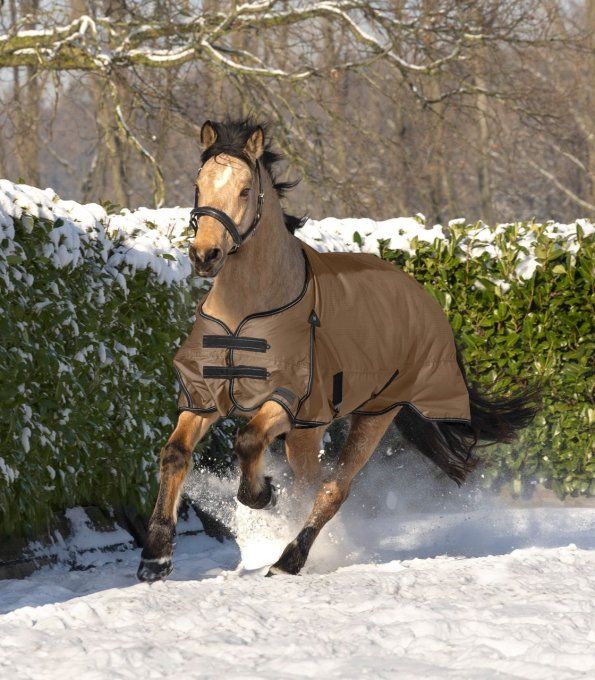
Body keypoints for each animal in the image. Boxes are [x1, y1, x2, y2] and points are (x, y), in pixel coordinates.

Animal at [136, 115, 540, 580]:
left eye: (244, 189)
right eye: (199, 184)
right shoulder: (204, 396)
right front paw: (155, 557)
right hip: (308, 432)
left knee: (332, 488)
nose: (205, 254)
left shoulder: (289, 398)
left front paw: (263, 495)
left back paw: (289, 559)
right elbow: (174, 453)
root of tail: (422, 296)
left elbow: (248, 441)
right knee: (311, 482)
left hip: (372, 415)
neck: (247, 311)